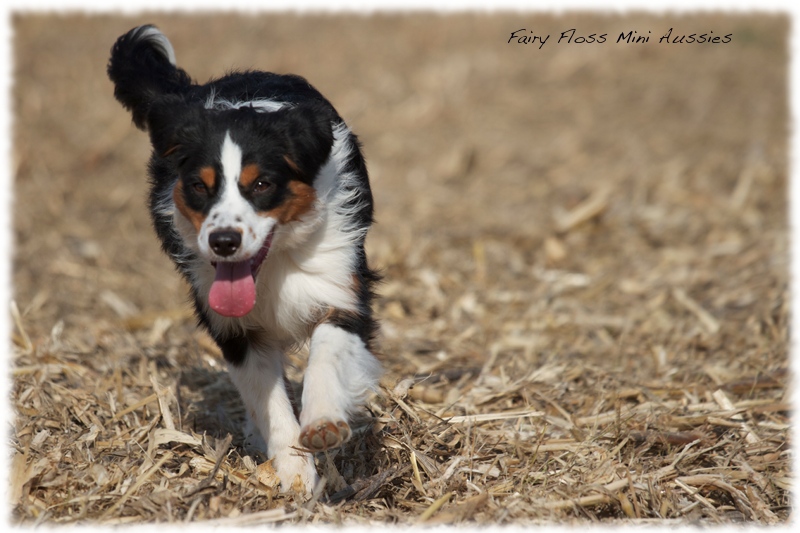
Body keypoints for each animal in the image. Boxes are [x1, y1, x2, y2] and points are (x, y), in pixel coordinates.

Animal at [108, 23, 382, 490]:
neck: (274, 265)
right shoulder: (234, 328)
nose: (223, 241)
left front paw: (323, 423)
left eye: (261, 184)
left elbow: (327, 351)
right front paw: (293, 472)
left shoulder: (340, 289)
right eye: (199, 186)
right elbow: (268, 400)